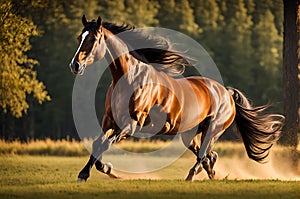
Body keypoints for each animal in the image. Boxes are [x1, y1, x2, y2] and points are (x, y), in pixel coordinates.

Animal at [69, 14, 284, 181]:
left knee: (204, 154)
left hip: (213, 129)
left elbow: (105, 144)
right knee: (208, 154)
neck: (130, 78)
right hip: (189, 134)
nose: (75, 65)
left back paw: (191, 176)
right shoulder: (109, 121)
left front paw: (104, 169)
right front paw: (89, 172)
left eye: (93, 39)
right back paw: (211, 173)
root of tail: (226, 93)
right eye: (79, 37)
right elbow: (97, 144)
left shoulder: (131, 124)